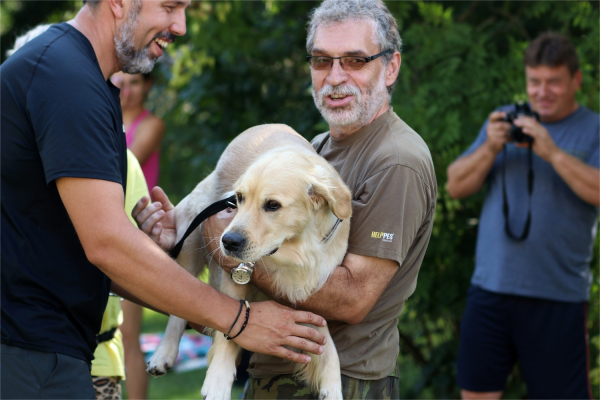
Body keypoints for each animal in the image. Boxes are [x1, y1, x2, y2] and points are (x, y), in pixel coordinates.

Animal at [146, 123, 352, 398]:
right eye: (239, 198)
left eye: (273, 205)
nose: (228, 242)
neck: (294, 250)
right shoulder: (234, 277)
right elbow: (228, 328)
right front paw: (217, 383)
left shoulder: (314, 287)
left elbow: (329, 349)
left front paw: (333, 388)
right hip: (190, 238)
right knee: (177, 311)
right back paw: (163, 354)